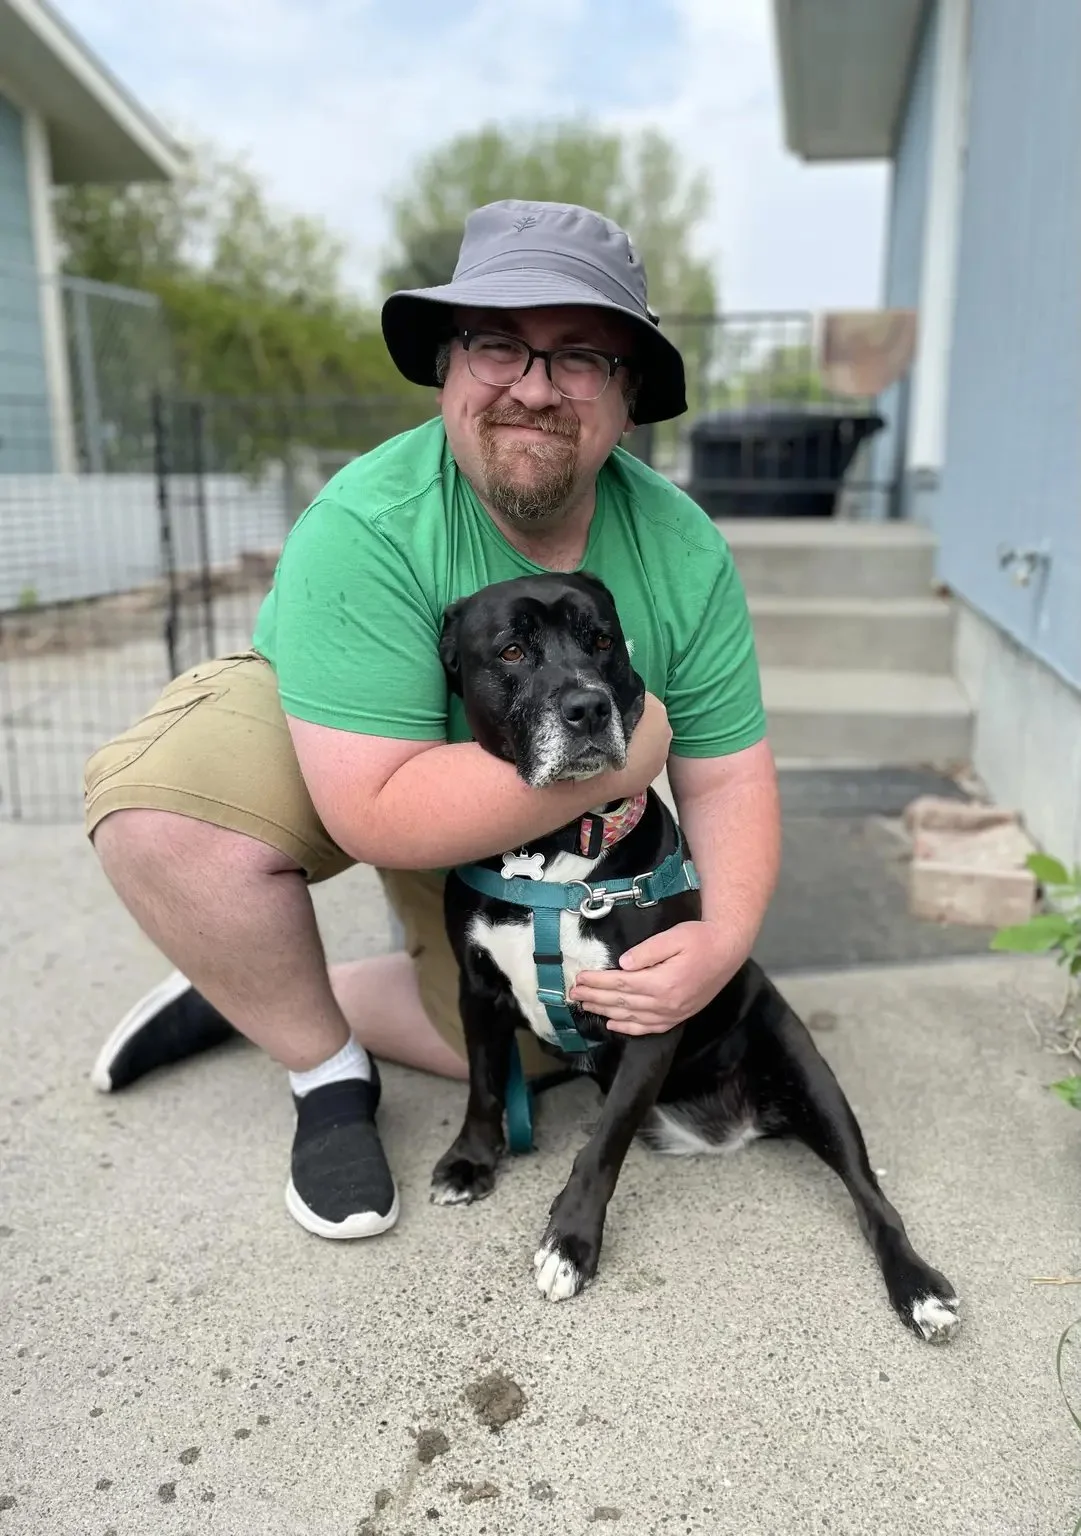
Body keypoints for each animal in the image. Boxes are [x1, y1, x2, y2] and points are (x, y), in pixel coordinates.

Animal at [431, 571, 960, 1343]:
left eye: (601, 641)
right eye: (511, 651)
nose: (587, 706)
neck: (553, 857)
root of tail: (734, 1130)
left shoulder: (653, 1012)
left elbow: (604, 1143)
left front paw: (570, 1241)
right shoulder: (477, 990)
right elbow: (482, 1085)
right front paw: (471, 1160)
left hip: (811, 1077)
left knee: (871, 1200)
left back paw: (918, 1288)